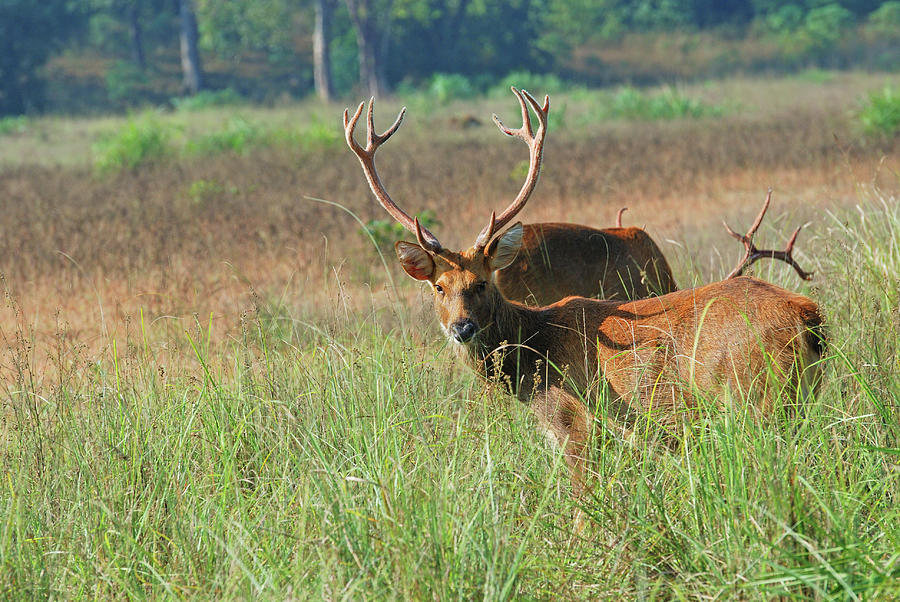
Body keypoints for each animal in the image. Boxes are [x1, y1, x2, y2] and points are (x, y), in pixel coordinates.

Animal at [342, 86, 824, 494]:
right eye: (439, 287)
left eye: (482, 282)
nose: (462, 328)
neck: (533, 358)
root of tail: (807, 315)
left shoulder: (577, 424)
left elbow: (582, 505)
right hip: (799, 400)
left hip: (754, 398)